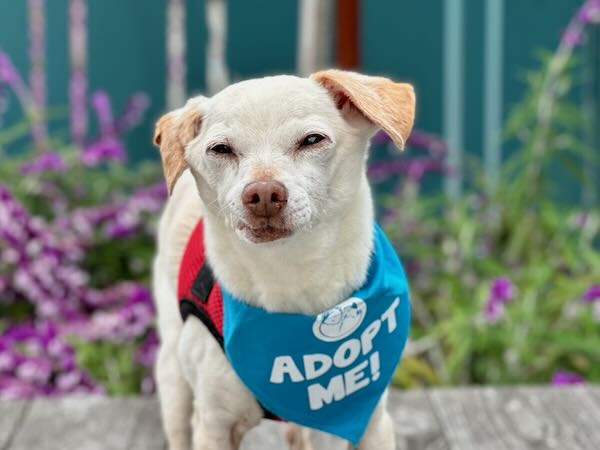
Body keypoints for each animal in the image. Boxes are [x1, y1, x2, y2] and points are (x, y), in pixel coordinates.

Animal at [152, 69, 415, 450]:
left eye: (312, 140)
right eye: (220, 149)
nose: (263, 193)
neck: (291, 272)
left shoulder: (373, 421)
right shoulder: (214, 426)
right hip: (174, 374)